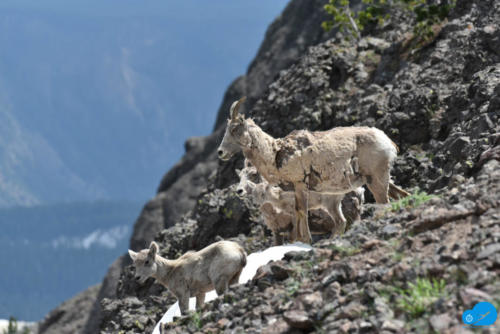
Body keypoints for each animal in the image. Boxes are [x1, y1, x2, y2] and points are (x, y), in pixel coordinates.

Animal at [236, 159, 366, 245]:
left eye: (253, 174)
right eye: (239, 176)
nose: (239, 191)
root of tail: (360, 191)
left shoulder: (293, 220)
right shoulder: (277, 231)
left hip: (331, 206)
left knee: (341, 222)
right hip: (335, 206)